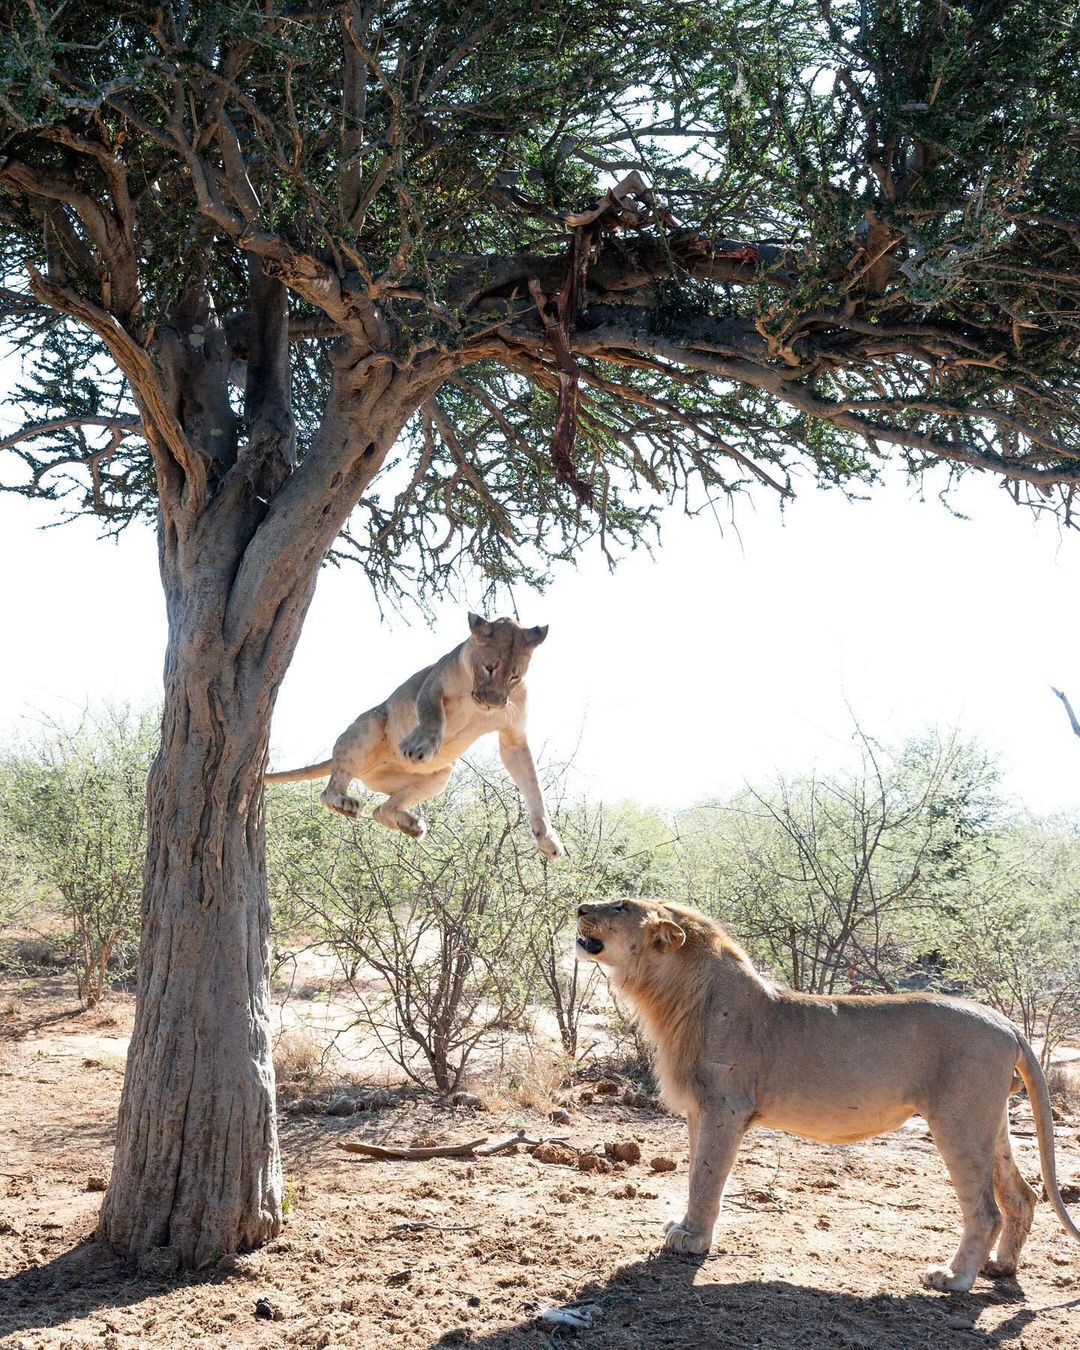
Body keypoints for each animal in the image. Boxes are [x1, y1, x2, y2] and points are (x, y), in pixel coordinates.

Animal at [577, 896, 1080, 1285]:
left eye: (620, 906)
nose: (581, 907)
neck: (675, 995)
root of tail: (1007, 1023)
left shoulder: (725, 1108)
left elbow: (705, 1178)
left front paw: (693, 1239)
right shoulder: (700, 1110)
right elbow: (693, 1176)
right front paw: (684, 1226)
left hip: (959, 1121)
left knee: (986, 1211)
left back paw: (953, 1278)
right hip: (991, 1122)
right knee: (1022, 1195)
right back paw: (1001, 1267)